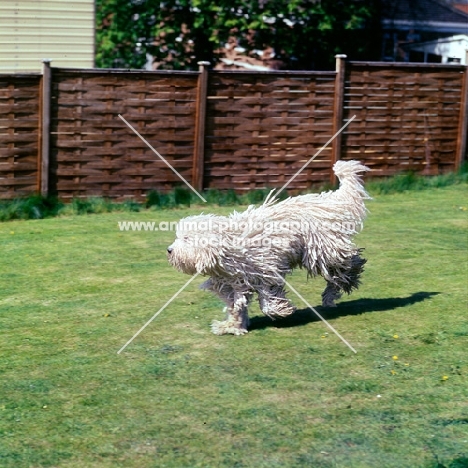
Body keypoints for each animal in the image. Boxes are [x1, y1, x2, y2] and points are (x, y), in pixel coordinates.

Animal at [167, 159, 370, 334]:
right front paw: (233, 325)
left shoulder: (265, 271)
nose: (169, 250)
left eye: (186, 238)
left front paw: (281, 310)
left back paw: (347, 280)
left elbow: (267, 298)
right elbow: (236, 304)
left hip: (323, 251)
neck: (229, 247)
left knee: (347, 263)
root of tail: (329, 202)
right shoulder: (234, 281)